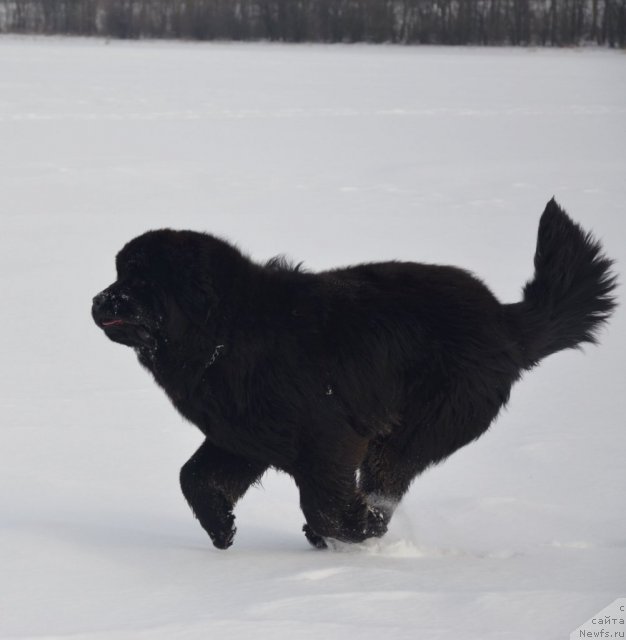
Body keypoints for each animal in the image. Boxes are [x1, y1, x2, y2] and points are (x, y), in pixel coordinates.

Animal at [91, 201, 616, 552]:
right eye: (118, 273)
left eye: (140, 281)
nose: (98, 300)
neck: (227, 331)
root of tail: (506, 321)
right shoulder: (242, 436)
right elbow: (194, 477)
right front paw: (222, 528)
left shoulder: (327, 435)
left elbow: (323, 503)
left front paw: (354, 529)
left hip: (415, 428)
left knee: (389, 478)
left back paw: (369, 523)